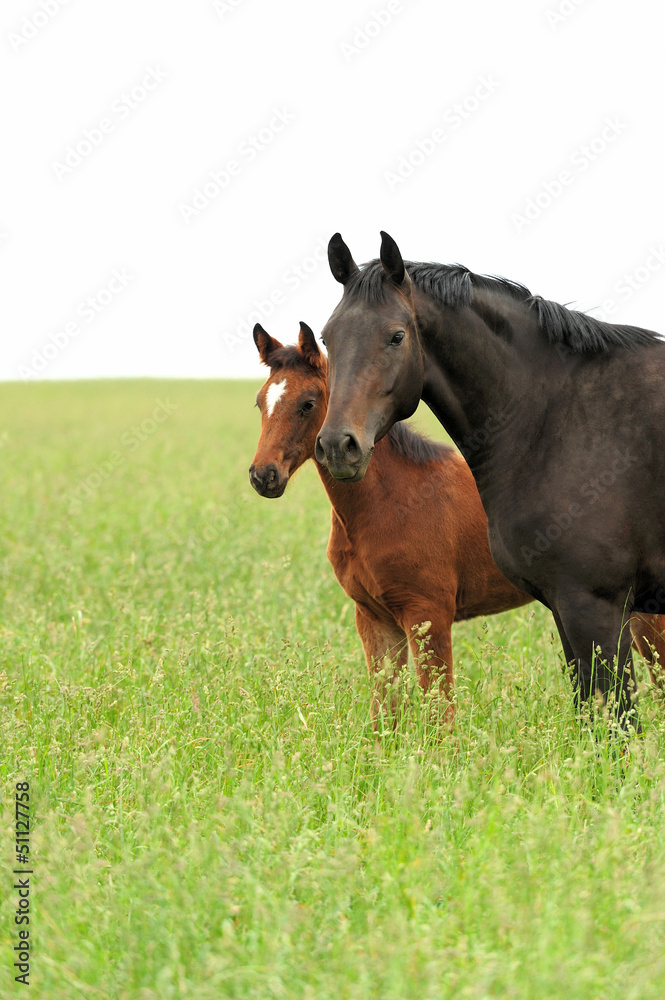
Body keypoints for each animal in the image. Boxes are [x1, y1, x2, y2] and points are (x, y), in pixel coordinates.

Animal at [314, 234, 664, 736]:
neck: (554, 418)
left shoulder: (596, 607)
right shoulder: (566, 609)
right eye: (327, 337)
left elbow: (616, 725)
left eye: (397, 336)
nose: (338, 446)